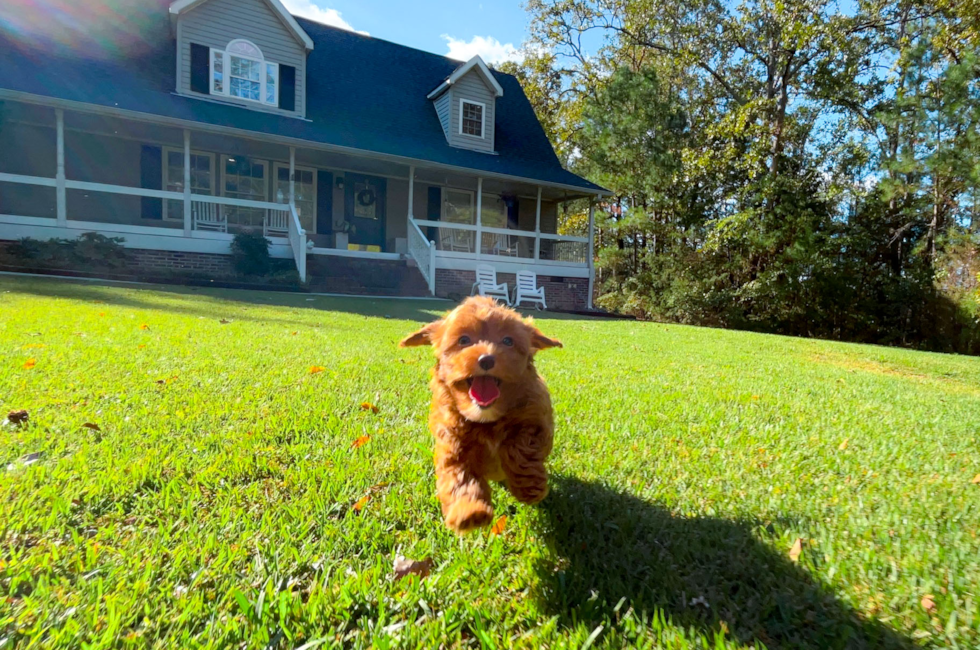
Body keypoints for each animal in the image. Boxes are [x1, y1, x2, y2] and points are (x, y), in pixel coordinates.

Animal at [400, 296, 568, 528]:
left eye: (508, 341)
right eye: (464, 340)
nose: (486, 359)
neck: (485, 418)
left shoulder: (536, 419)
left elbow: (520, 446)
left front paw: (529, 488)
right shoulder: (452, 441)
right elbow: (459, 475)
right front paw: (469, 512)